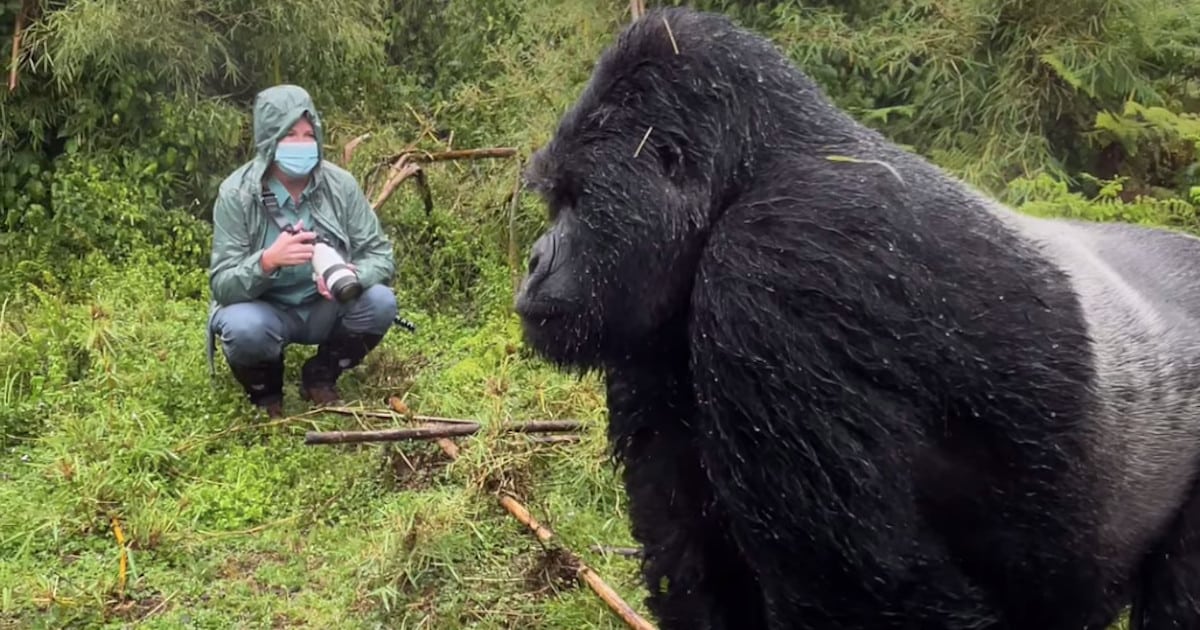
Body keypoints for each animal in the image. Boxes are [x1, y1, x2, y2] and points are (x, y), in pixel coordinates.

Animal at [511, 6, 1200, 628]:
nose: (533, 259)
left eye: (574, 199)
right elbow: (695, 559)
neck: (751, 171)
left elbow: (864, 589)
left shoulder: (786, 260)